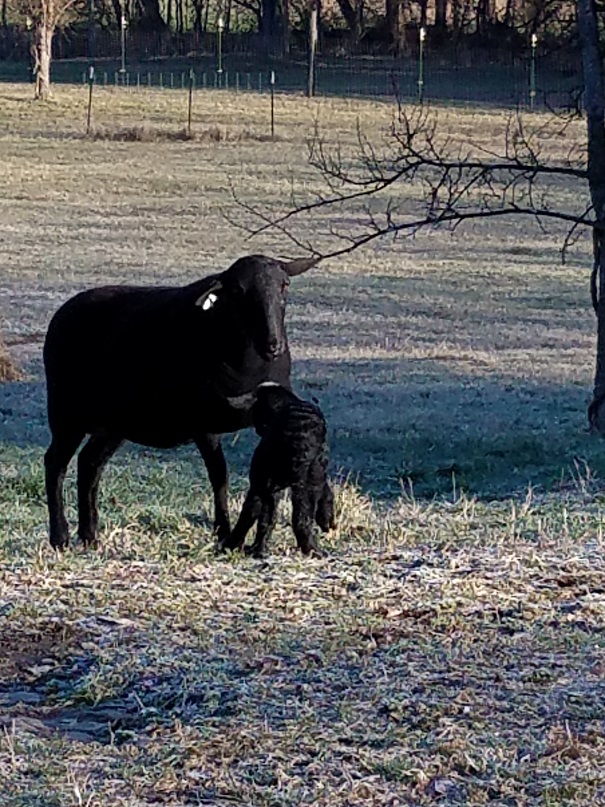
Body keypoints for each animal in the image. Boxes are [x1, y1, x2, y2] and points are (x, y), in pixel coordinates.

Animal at [219, 382, 336, 560]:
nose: (258, 428)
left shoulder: (263, 485)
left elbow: (256, 517)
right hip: (307, 479)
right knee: (301, 517)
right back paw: (312, 549)